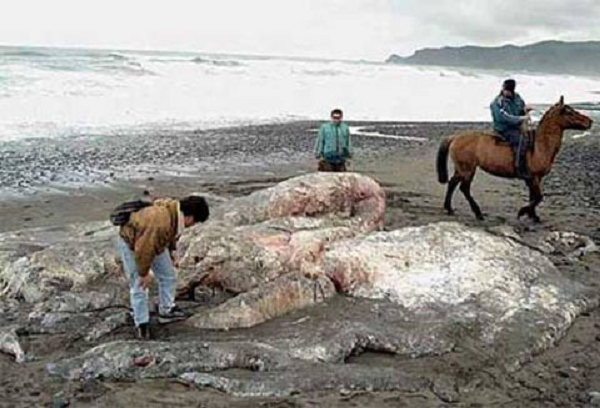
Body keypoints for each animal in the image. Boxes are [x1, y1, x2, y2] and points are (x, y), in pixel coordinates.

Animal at [438, 97, 592, 222]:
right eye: (569, 112)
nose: (590, 121)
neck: (539, 146)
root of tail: (455, 137)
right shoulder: (534, 177)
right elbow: (538, 197)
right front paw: (523, 212)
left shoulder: (532, 179)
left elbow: (533, 196)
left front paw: (533, 216)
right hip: (468, 170)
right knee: (464, 188)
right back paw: (478, 213)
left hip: (461, 169)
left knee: (452, 183)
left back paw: (449, 208)